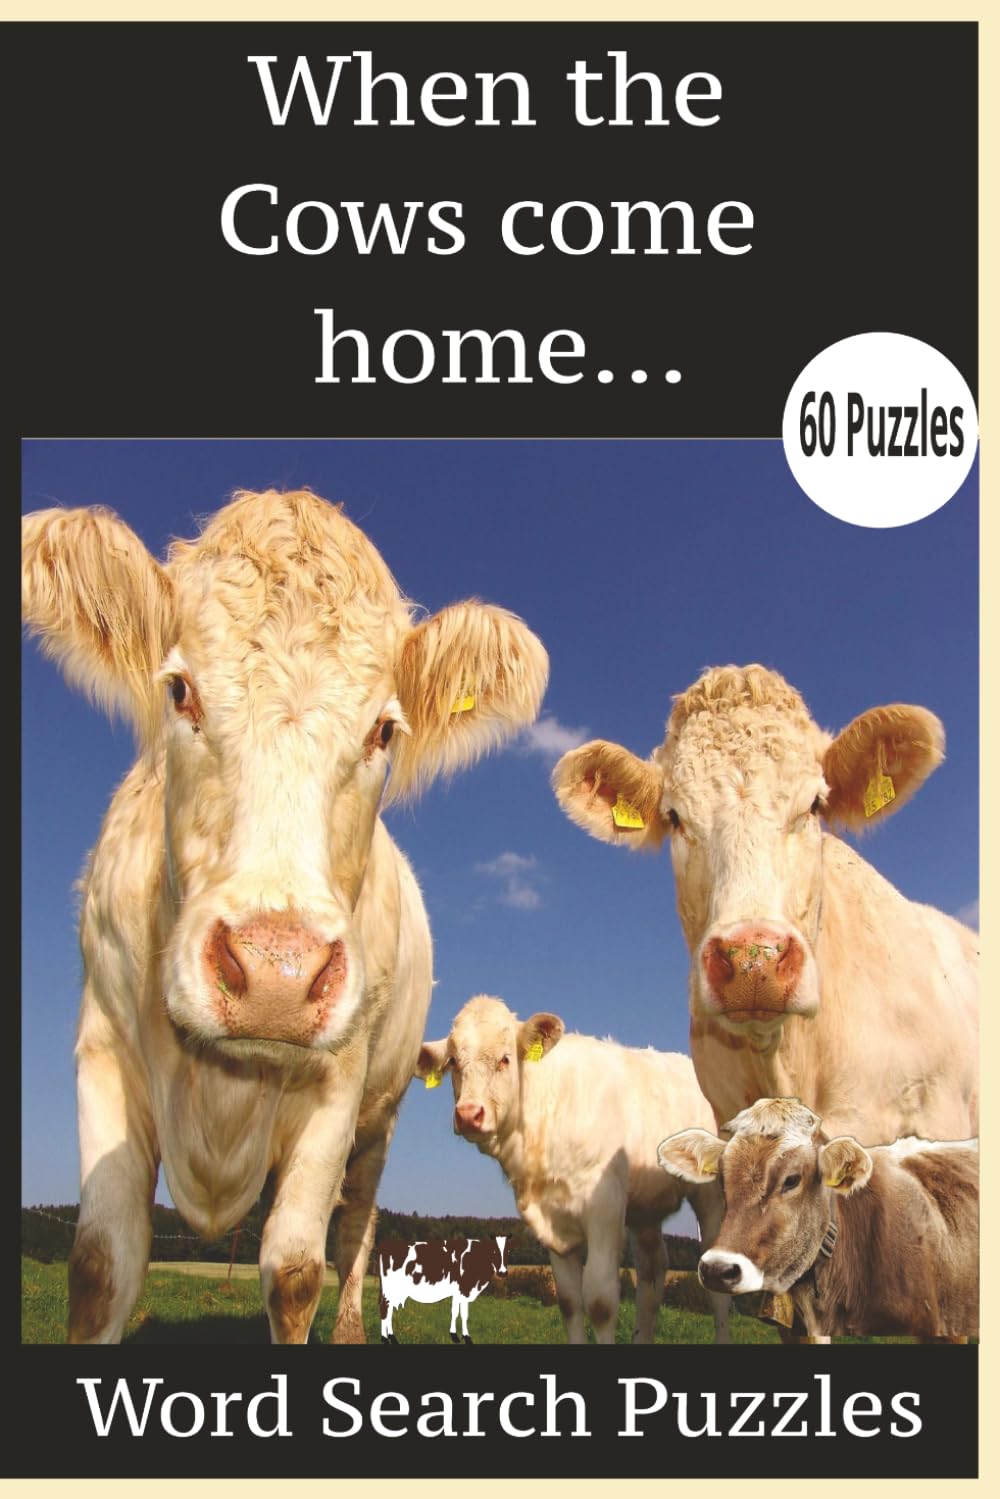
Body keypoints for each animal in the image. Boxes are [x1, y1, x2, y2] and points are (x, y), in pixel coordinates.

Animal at [378, 1235, 508, 1343]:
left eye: (508, 1251)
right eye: (494, 1251)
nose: (503, 1272)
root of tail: (385, 1244)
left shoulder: (458, 1292)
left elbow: (456, 1312)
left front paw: (455, 1335)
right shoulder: (464, 1290)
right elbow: (463, 1314)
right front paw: (466, 1337)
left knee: (389, 1311)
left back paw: (391, 1337)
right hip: (390, 1290)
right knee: (385, 1309)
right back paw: (385, 1338)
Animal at [416, 995, 731, 1345]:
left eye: (505, 1059)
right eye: (454, 1062)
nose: (469, 1114)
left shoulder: (605, 1208)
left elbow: (600, 1302)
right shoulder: (552, 1223)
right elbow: (569, 1302)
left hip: (709, 1194)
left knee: (715, 1286)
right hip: (646, 1207)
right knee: (652, 1274)